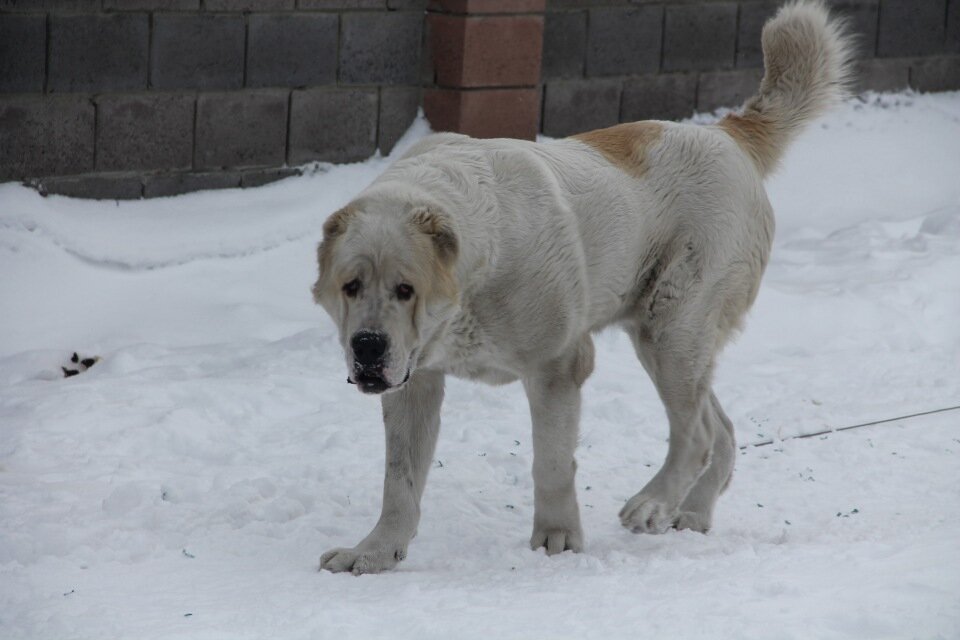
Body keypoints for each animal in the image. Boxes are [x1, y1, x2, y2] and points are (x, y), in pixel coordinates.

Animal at [312, 0, 852, 576]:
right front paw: (374, 552)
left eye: (406, 289)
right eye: (351, 286)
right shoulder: (415, 382)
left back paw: (652, 504)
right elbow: (400, 480)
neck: (478, 269)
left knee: (698, 433)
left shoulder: (558, 366)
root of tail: (730, 133)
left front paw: (558, 540)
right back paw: (692, 513)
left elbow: (550, 461)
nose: (368, 346)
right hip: (675, 341)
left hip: (672, 329)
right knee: (722, 431)